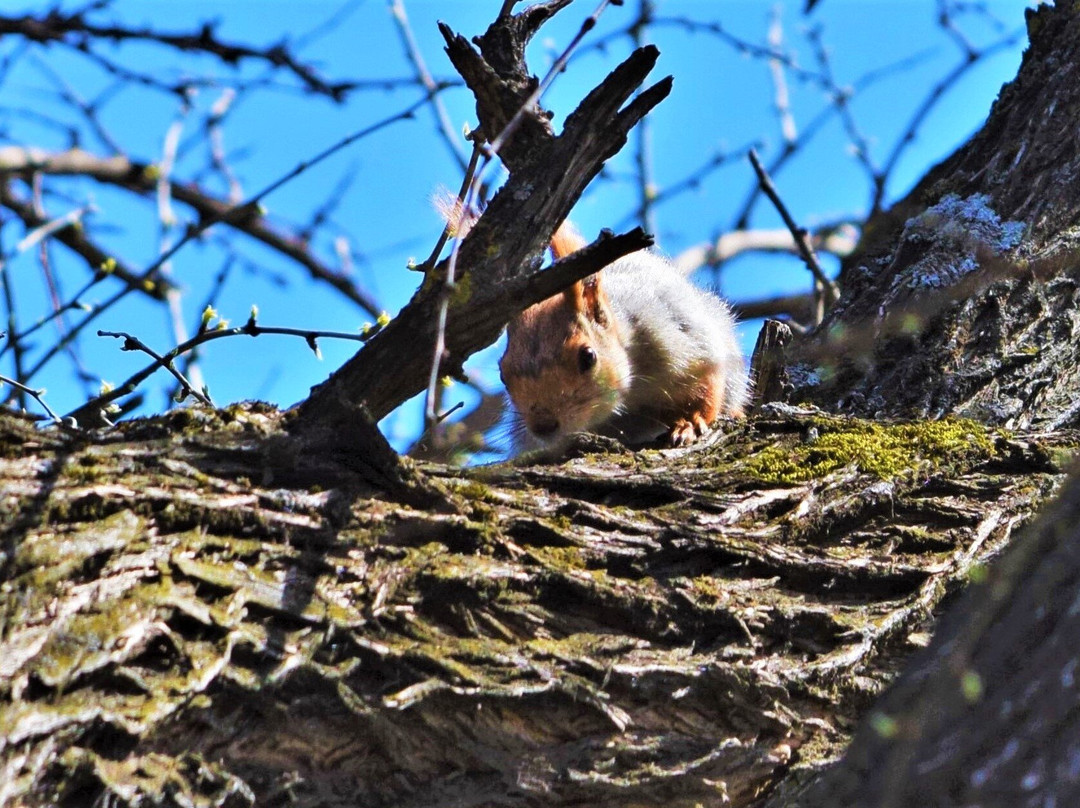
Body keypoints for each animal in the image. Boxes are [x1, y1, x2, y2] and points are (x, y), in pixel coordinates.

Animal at [498, 222, 747, 447]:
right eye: (503, 375)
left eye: (588, 357)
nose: (543, 426)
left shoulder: (682, 340)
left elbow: (706, 385)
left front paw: (690, 423)